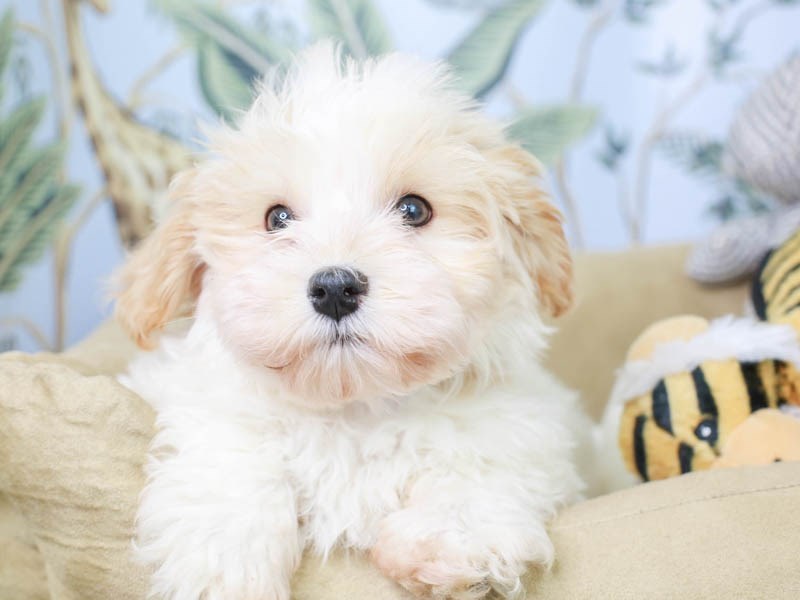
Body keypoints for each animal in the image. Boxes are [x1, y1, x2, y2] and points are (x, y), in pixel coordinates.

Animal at [117, 43, 592, 600]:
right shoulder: (207, 405)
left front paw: (446, 539)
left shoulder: (522, 431)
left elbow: (482, 468)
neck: (355, 408)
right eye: (277, 219)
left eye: (414, 210)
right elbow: (231, 457)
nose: (335, 288)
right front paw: (226, 559)